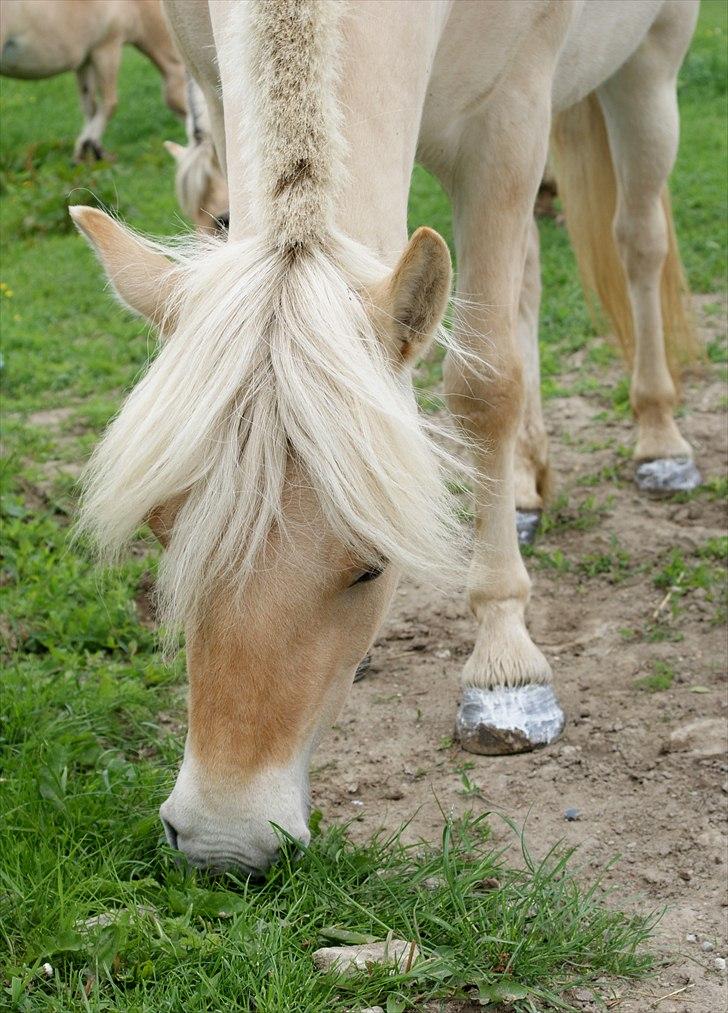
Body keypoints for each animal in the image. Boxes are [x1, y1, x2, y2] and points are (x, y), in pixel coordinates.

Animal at [0, 0, 186, 159]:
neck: (134, 6)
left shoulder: (85, 61)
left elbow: (90, 107)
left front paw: (83, 153)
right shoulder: (107, 49)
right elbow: (109, 103)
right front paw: (92, 147)